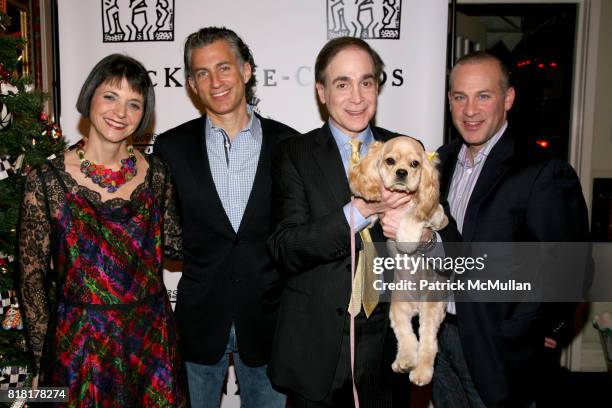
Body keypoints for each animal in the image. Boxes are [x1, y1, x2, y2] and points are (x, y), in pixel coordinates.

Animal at [352, 137, 448, 386]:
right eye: (390, 161)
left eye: (415, 163)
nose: (402, 172)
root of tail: (416, 305)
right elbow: (372, 215)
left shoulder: (437, 214)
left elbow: (414, 214)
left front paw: (406, 236)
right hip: (398, 311)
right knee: (407, 337)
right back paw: (404, 361)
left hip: (431, 310)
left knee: (428, 344)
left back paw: (421, 373)